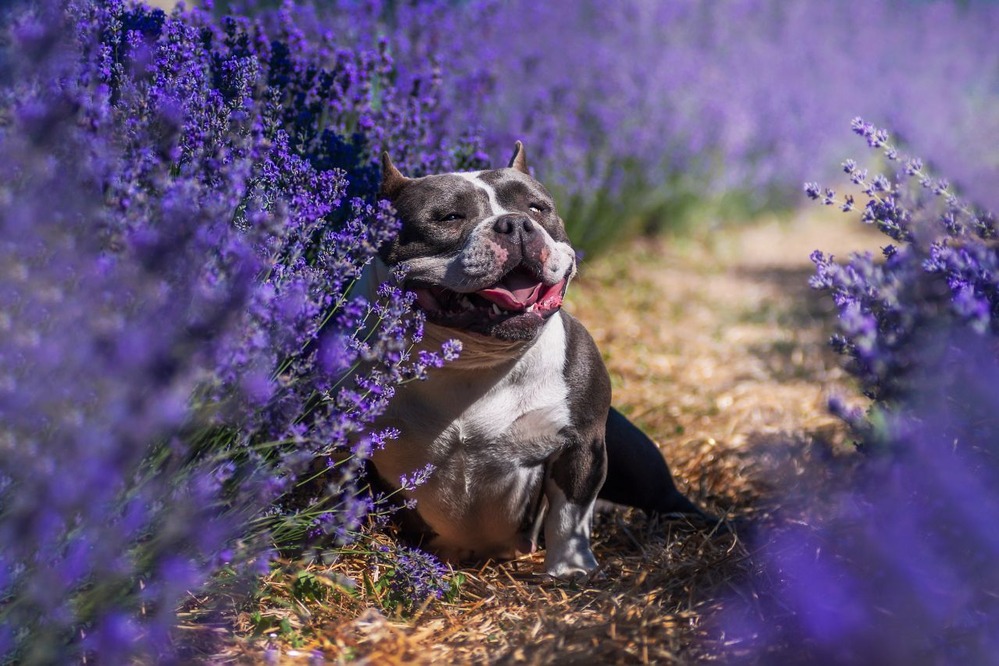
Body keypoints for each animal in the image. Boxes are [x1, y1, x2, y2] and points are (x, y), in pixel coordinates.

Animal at [362, 143, 704, 580]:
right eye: (449, 217)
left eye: (538, 208)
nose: (515, 224)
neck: (472, 361)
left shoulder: (581, 444)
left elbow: (569, 514)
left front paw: (570, 568)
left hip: (633, 456)